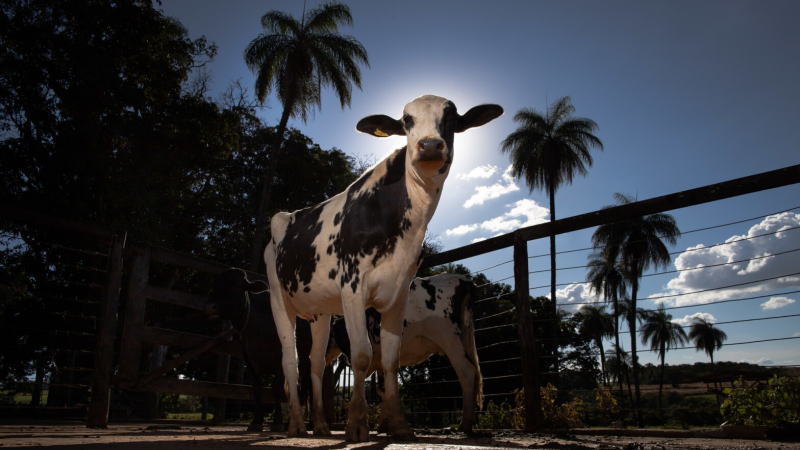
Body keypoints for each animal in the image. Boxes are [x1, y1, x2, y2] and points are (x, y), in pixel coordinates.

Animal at [324, 272, 482, 434]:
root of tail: (462, 280)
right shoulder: (380, 359)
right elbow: (383, 389)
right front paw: (384, 426)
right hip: (463, 337)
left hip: (449, 338)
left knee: (467, 372)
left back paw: (464, 424)